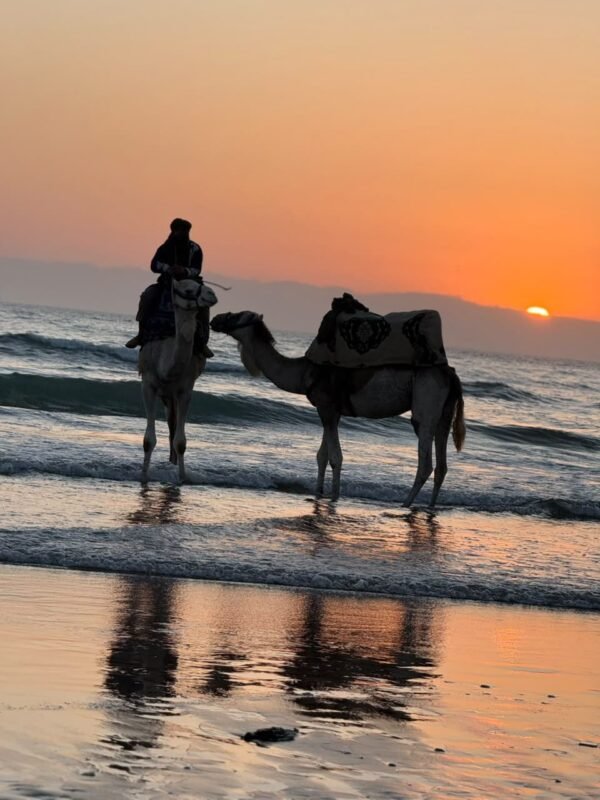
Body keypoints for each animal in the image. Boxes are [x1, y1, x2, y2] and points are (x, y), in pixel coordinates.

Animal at [139, 278, 217, 482]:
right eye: (188, 290)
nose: (212, 294)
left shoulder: (185, 390)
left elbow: (181, 442)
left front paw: (182, 478)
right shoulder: (148, 384)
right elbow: (148, 440)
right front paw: (144, 475)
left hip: (172, 395)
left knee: (172, 424)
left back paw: (173, 462)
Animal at [211, 311, 465, 506]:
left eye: (238, 315)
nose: (216, 319)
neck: (304, 372)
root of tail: (451, 375)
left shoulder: (326, 406)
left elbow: (335, 457)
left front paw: (333, 498)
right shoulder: (331, 411)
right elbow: (321, 456)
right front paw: (319, 494)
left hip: (426, 399)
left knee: (425, 459)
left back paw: (406, 504)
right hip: (444, 411)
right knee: (441, 462)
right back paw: (429, 507)